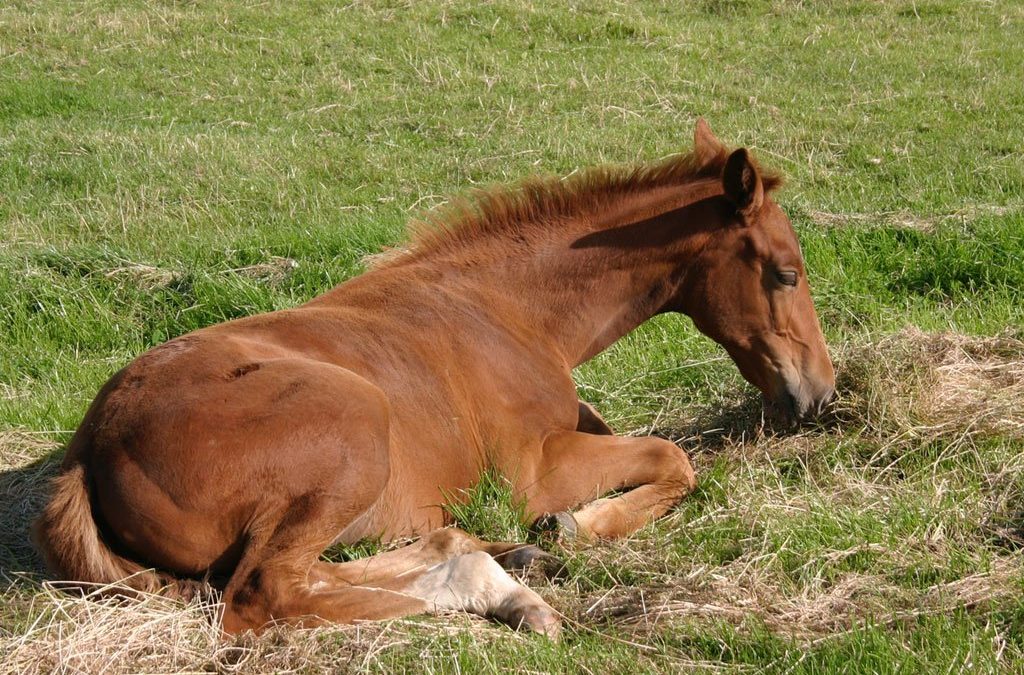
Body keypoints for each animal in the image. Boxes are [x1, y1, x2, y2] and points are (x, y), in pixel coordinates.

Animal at [36, 120, 835, 639]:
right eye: (785, 273)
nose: (820, 392)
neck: (507, 309)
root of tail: (88, 448)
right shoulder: (534, 473)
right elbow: (673, 458)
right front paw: (577, 524)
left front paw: (547, 536)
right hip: (354, 422)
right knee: (264, 592)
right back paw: (496, 585)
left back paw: (501, 563)